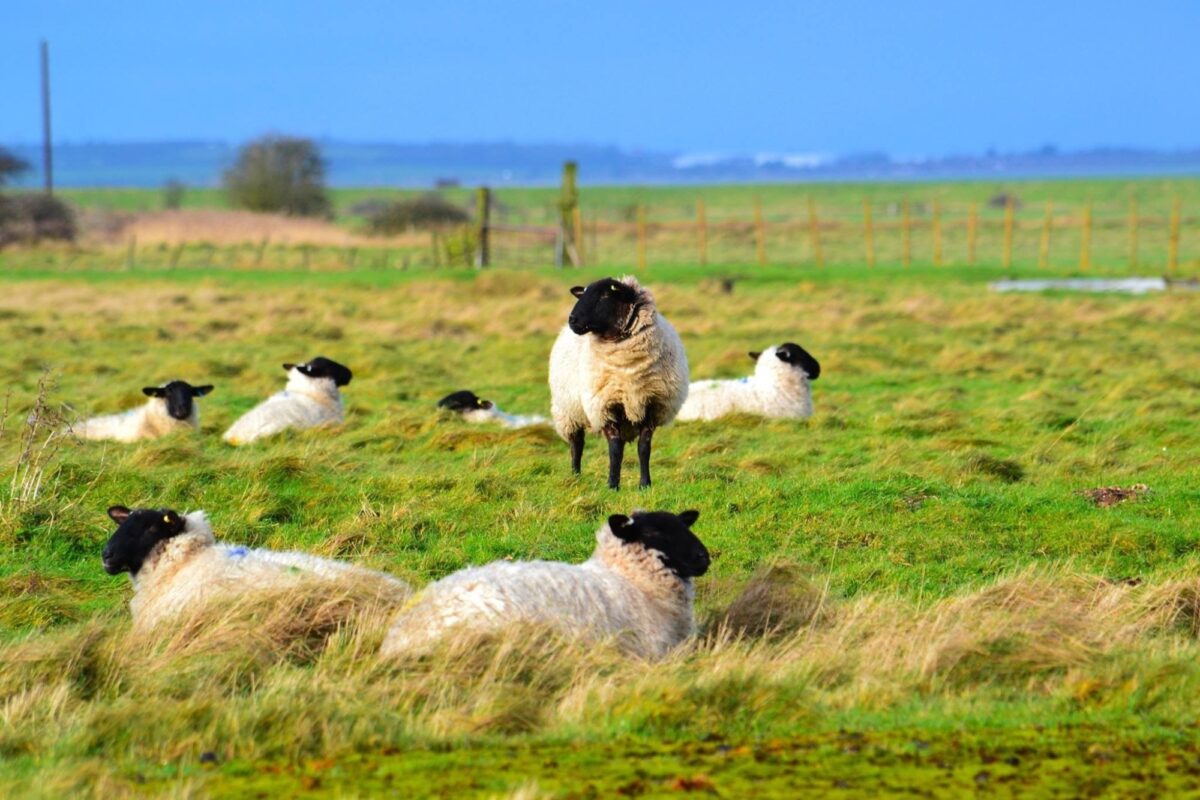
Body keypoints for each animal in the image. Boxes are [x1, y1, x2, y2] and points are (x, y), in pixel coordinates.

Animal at [549, 275, 691, 489]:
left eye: (605, 295)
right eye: (584, 293)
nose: (572, 320)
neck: (627, 366)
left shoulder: (651, 404)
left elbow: (644, 448)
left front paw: (645, 484)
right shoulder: (606, 405)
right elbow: (614, 449)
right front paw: (612, 485)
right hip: (569, 411)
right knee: (577, 445)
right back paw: (575, 476)